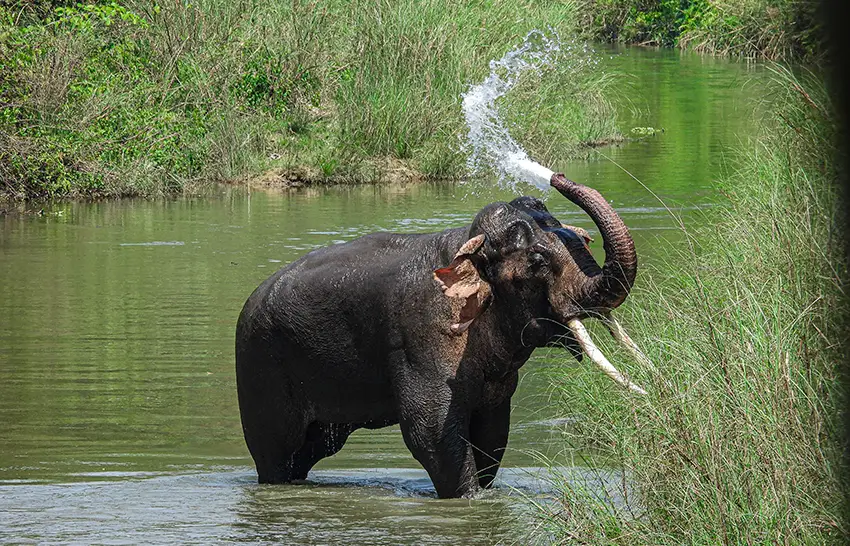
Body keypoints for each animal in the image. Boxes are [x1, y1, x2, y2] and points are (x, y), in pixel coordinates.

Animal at [235, 173, 648, 499]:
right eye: (537, 262)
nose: (556, 177)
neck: (468, 244)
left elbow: (492, 434)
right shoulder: (424, 332)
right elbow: (429, 431)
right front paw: (469, 498)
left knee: (310, 450)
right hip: (261, 368)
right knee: (276, 453)